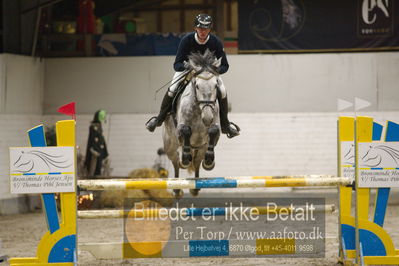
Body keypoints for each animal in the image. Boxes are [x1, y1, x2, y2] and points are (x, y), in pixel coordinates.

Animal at [164, 49, 223, 197]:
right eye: (196, 86)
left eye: (216, 85)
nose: (207, 117)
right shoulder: (180, 127)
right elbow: (186, 130)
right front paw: (185, 158)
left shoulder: (215, 127)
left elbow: (213, 131)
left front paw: (209, 161)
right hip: (170, 147)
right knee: (176, 164)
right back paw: (177, 188)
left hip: (200, 149)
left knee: (196, 163)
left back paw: (196, 186)